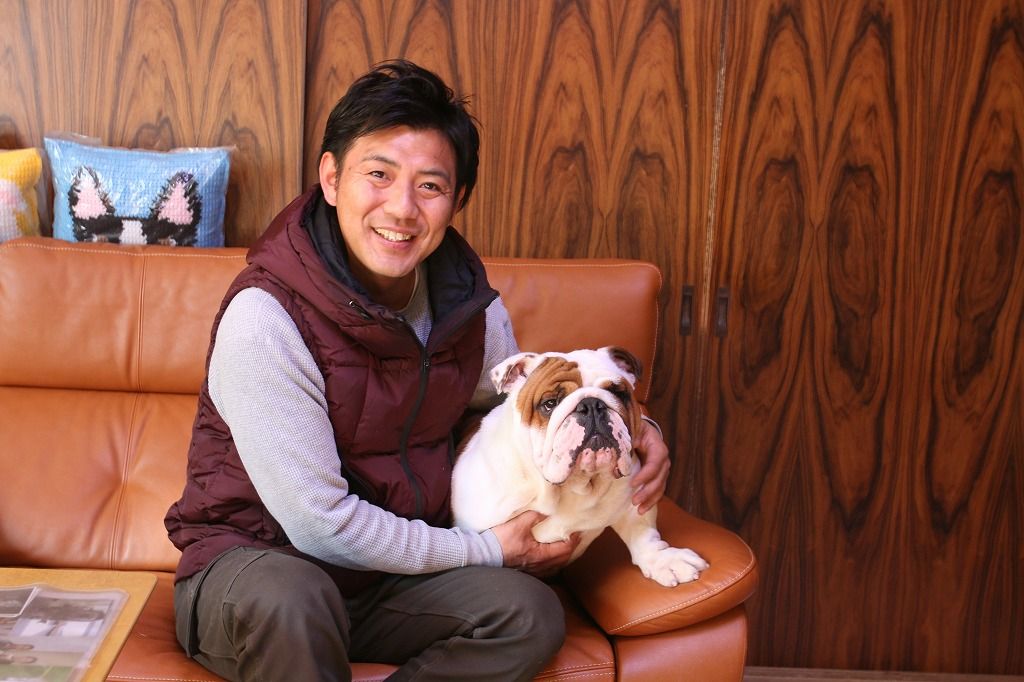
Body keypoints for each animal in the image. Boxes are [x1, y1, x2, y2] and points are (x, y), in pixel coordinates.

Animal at [451, 346, 709, 586]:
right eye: (549, 404)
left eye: (617, 392)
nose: (591, 405)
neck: (575, 485)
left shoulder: (634, 500)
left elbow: (644, 533)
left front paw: (664, 560)